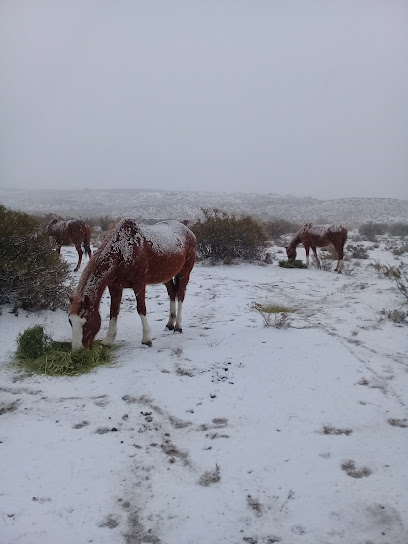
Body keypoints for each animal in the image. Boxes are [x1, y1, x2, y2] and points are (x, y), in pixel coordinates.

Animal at [69, 218, 197, 350]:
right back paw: (170, 323)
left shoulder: (139, 285)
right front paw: (109, 339)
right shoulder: (114, 287)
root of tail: (187, 230)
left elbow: (141, 309)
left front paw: (146, 339)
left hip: (184, 273)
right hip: (166, 276)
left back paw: (178, 326)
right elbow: (113, 310)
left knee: (180, 295)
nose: (77, 350)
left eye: (85, 322)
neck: (123, 250)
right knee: (171, 293)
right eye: (70, 322)